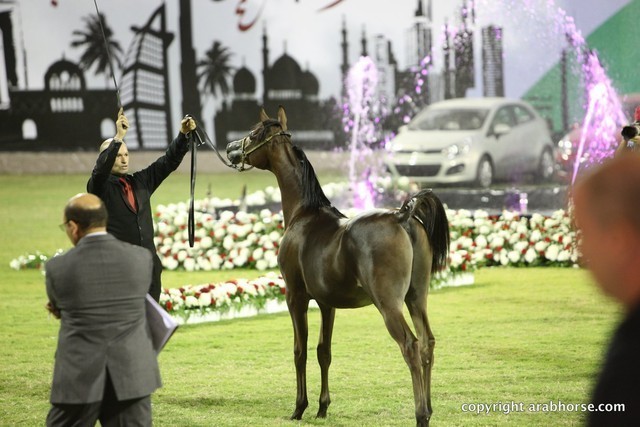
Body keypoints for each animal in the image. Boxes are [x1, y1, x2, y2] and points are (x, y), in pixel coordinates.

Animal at [226, 106, 450, 427]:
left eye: (255, 133)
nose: (231, 149)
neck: (304, 213)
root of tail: (402, 216)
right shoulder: (326, 303)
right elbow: (324, 351)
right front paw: (322, 407)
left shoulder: (295, 297)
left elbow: (300, 351)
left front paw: (299, 407)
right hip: (416, 298)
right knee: (427, 344)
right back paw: (428, 409)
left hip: (389, 304)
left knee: (410, 345)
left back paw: (420, 414)